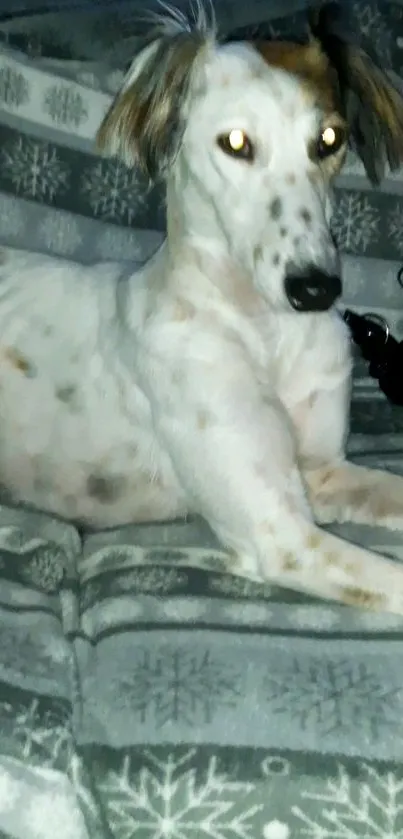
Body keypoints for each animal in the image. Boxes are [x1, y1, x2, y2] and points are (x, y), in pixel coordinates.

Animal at [0, 3, 403, 612]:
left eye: (330, 138)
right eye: (235, 142)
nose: (316, 290)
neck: (265, 334)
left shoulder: (323, 473)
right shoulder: (282, 535)